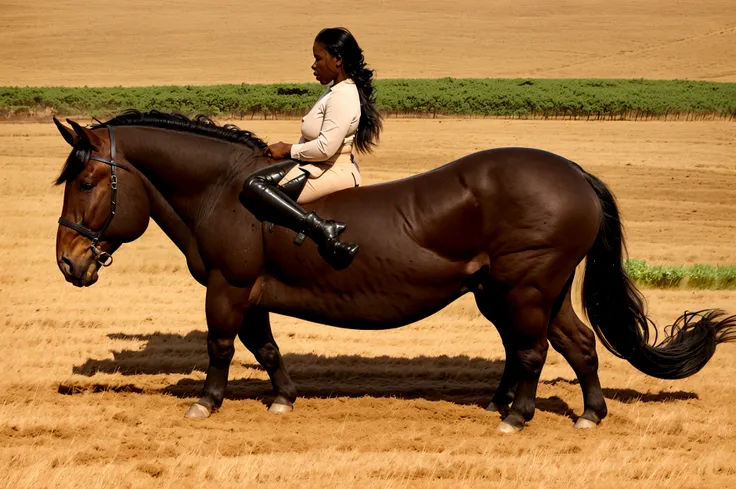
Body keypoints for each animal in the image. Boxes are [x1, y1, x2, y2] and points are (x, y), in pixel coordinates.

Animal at [53, 110, 736, 430]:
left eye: (86, 182)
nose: (67, 262)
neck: (224, 190)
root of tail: (572, 173)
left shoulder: (229, 285)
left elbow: (221, 346)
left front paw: (206, 404)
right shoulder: (251, 293)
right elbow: (266, 349)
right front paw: (283, 400)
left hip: (525, 285)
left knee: (535, 349)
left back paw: (515, 416)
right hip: (525, 289)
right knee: (578, 343)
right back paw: (588, 413)